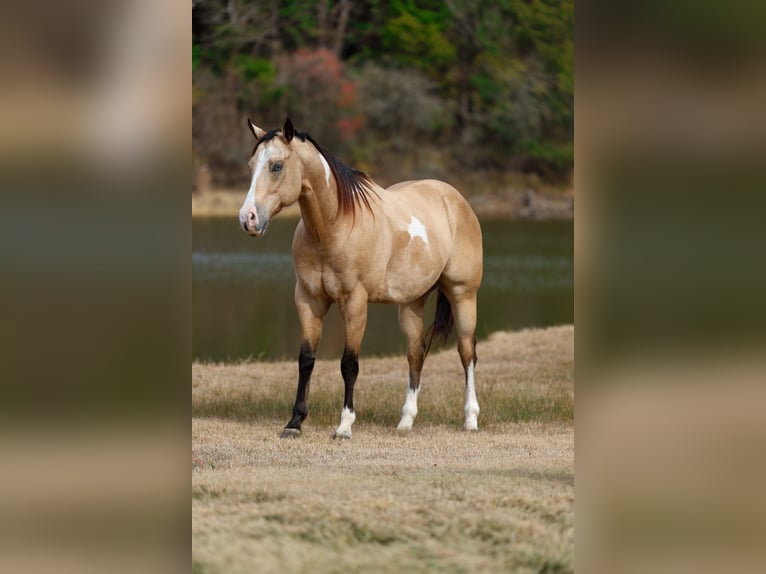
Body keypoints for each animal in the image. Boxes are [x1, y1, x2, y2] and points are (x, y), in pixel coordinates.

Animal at [239, 118, 483, 439]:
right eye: (251, 164)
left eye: (276, 166)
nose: (248, 218)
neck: (335, 227)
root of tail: (456, 200)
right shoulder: (308, 300)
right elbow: (306, 360)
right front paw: (294, 423)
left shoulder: (354, 302)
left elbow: (349, 364)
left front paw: (344, 425)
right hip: (412, 303)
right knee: (416, 354)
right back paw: (405, 421)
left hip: (462, 294)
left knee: (467, 353)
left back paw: (470, 419)